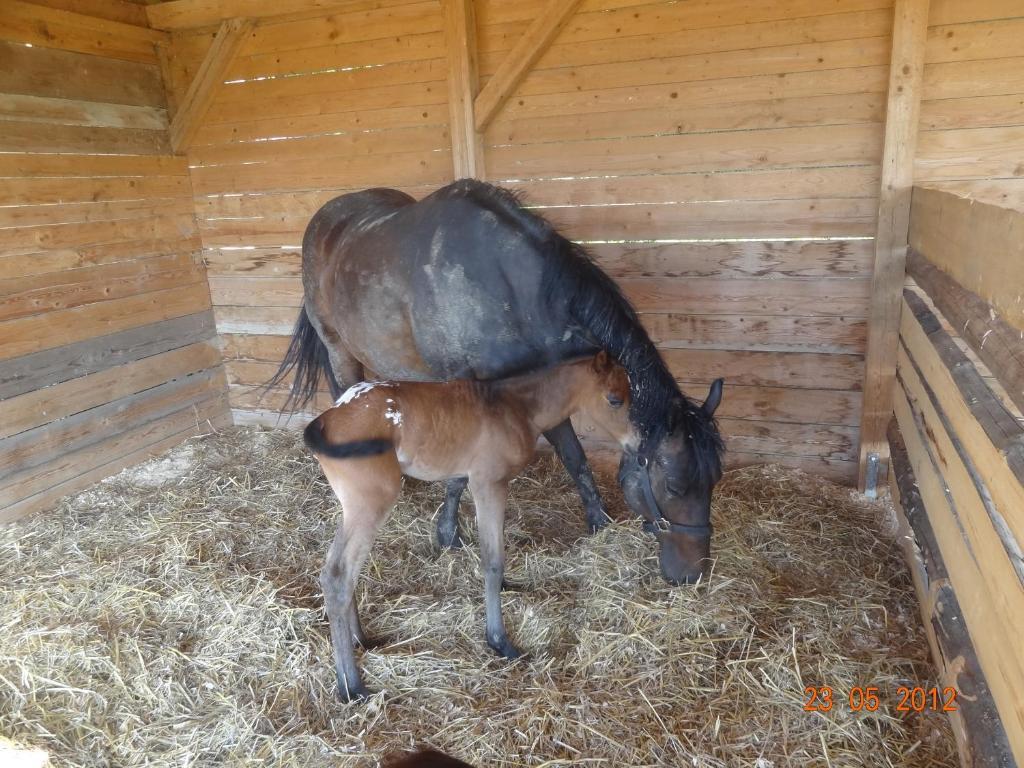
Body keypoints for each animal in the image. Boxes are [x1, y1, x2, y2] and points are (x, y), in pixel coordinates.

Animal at [268, 180, 724, 585]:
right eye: (675, 485)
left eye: (714, 479)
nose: (692, 575)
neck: (508, 287)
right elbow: (460, 475)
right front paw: (448, 535)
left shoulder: (549, 384)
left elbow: (574, 457)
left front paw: (599, 521)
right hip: (339, 348)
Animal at [305, 352, 638, 700]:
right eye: (614, 399)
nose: (635, 443)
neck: (514, 405)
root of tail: (328, 418)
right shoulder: (488, 484)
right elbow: (492, 561)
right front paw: (500, 642)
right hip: (371, 504)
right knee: (338, 575)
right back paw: (351, 687)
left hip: (353, 508)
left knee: (342, 572)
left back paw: (363, 641)